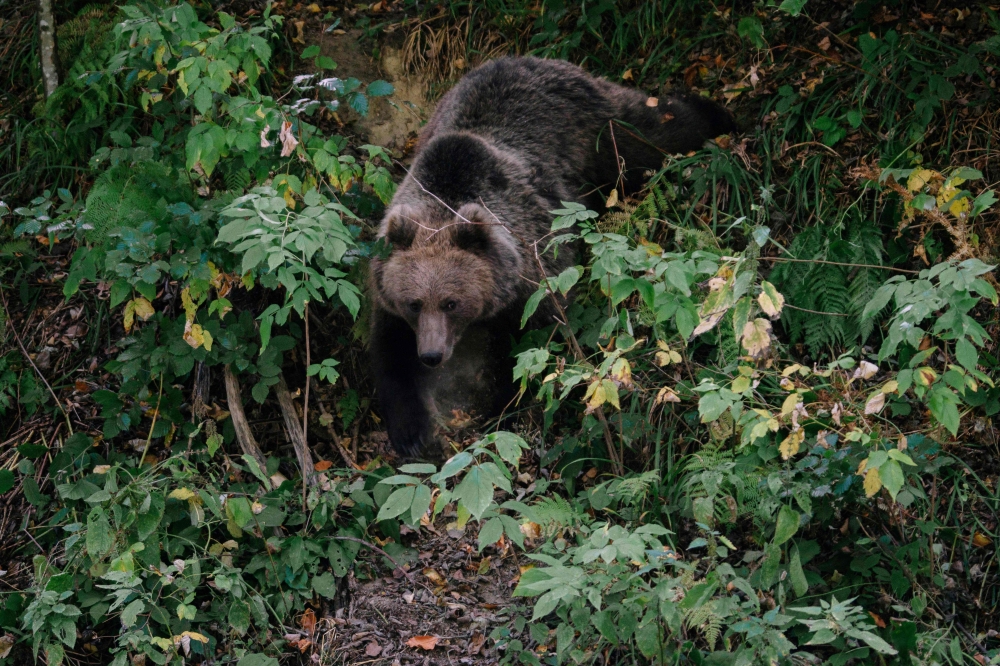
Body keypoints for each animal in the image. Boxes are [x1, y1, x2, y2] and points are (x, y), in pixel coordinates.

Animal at [368, 56, 736, 456]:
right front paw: (410, 434)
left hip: (596, 129)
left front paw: (502, 410)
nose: (432, 355)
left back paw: (718, 115)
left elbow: (534, 348)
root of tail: (534, 59)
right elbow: (389, 355)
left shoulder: (536, 273)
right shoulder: (389, 289)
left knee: (652, 132)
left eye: (451, 302)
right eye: (414, 303)